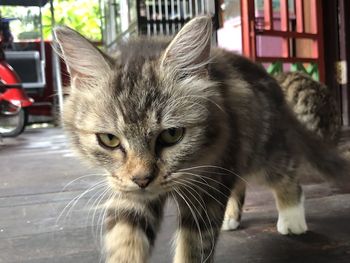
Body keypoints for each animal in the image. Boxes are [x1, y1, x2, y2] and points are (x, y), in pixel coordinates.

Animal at [55, 16, 350, 263]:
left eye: (172, 134)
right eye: (109, 140)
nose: (142, 179)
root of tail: (273, 82)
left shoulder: (207, 187)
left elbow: (193, 247)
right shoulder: (128, 194)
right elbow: (125, 239)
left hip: (261, 151)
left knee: (286, 174)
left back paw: (291, 217)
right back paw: (231, 216)